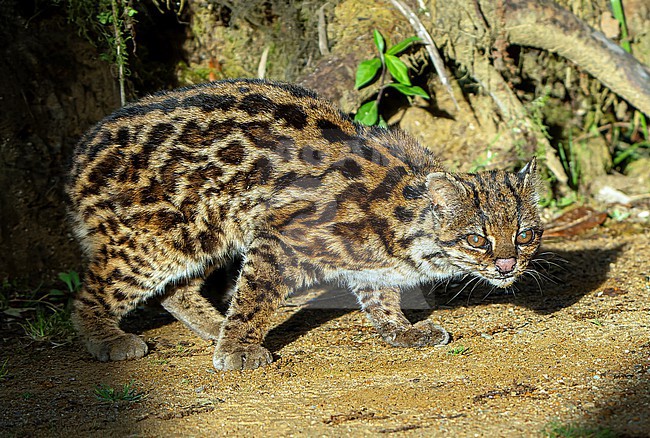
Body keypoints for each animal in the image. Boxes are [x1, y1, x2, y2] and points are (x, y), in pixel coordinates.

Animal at [67, 78, 540, 370]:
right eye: (476, 239)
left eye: (525, 235)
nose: (507, 266)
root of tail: (80, 156)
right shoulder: (277, 236)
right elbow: (255, 296)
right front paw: (239, 347)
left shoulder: (368, 264)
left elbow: (380, 297)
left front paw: (400, 331)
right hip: (157, 241)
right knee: (93, 290)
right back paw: (107, 337)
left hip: (208, 232)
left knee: (177, 291)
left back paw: (213, 326)